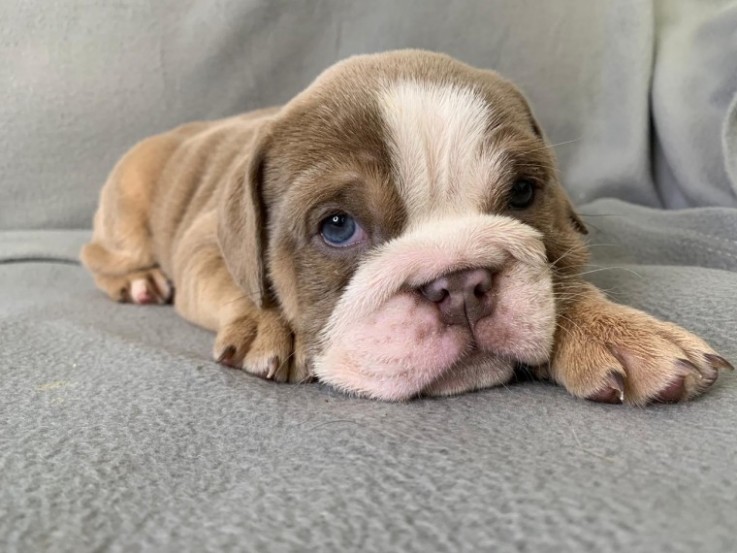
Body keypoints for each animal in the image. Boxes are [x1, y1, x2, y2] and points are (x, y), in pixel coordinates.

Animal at [80, 49, 732, 404]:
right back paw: (136, 280)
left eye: (523, 192)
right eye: (337, 227)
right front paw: (275, 326)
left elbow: (561, 280)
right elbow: (246, 290)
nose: (461, 284)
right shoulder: (203, 248)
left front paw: (615, 329)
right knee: (98, 252)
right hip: (127, 208)